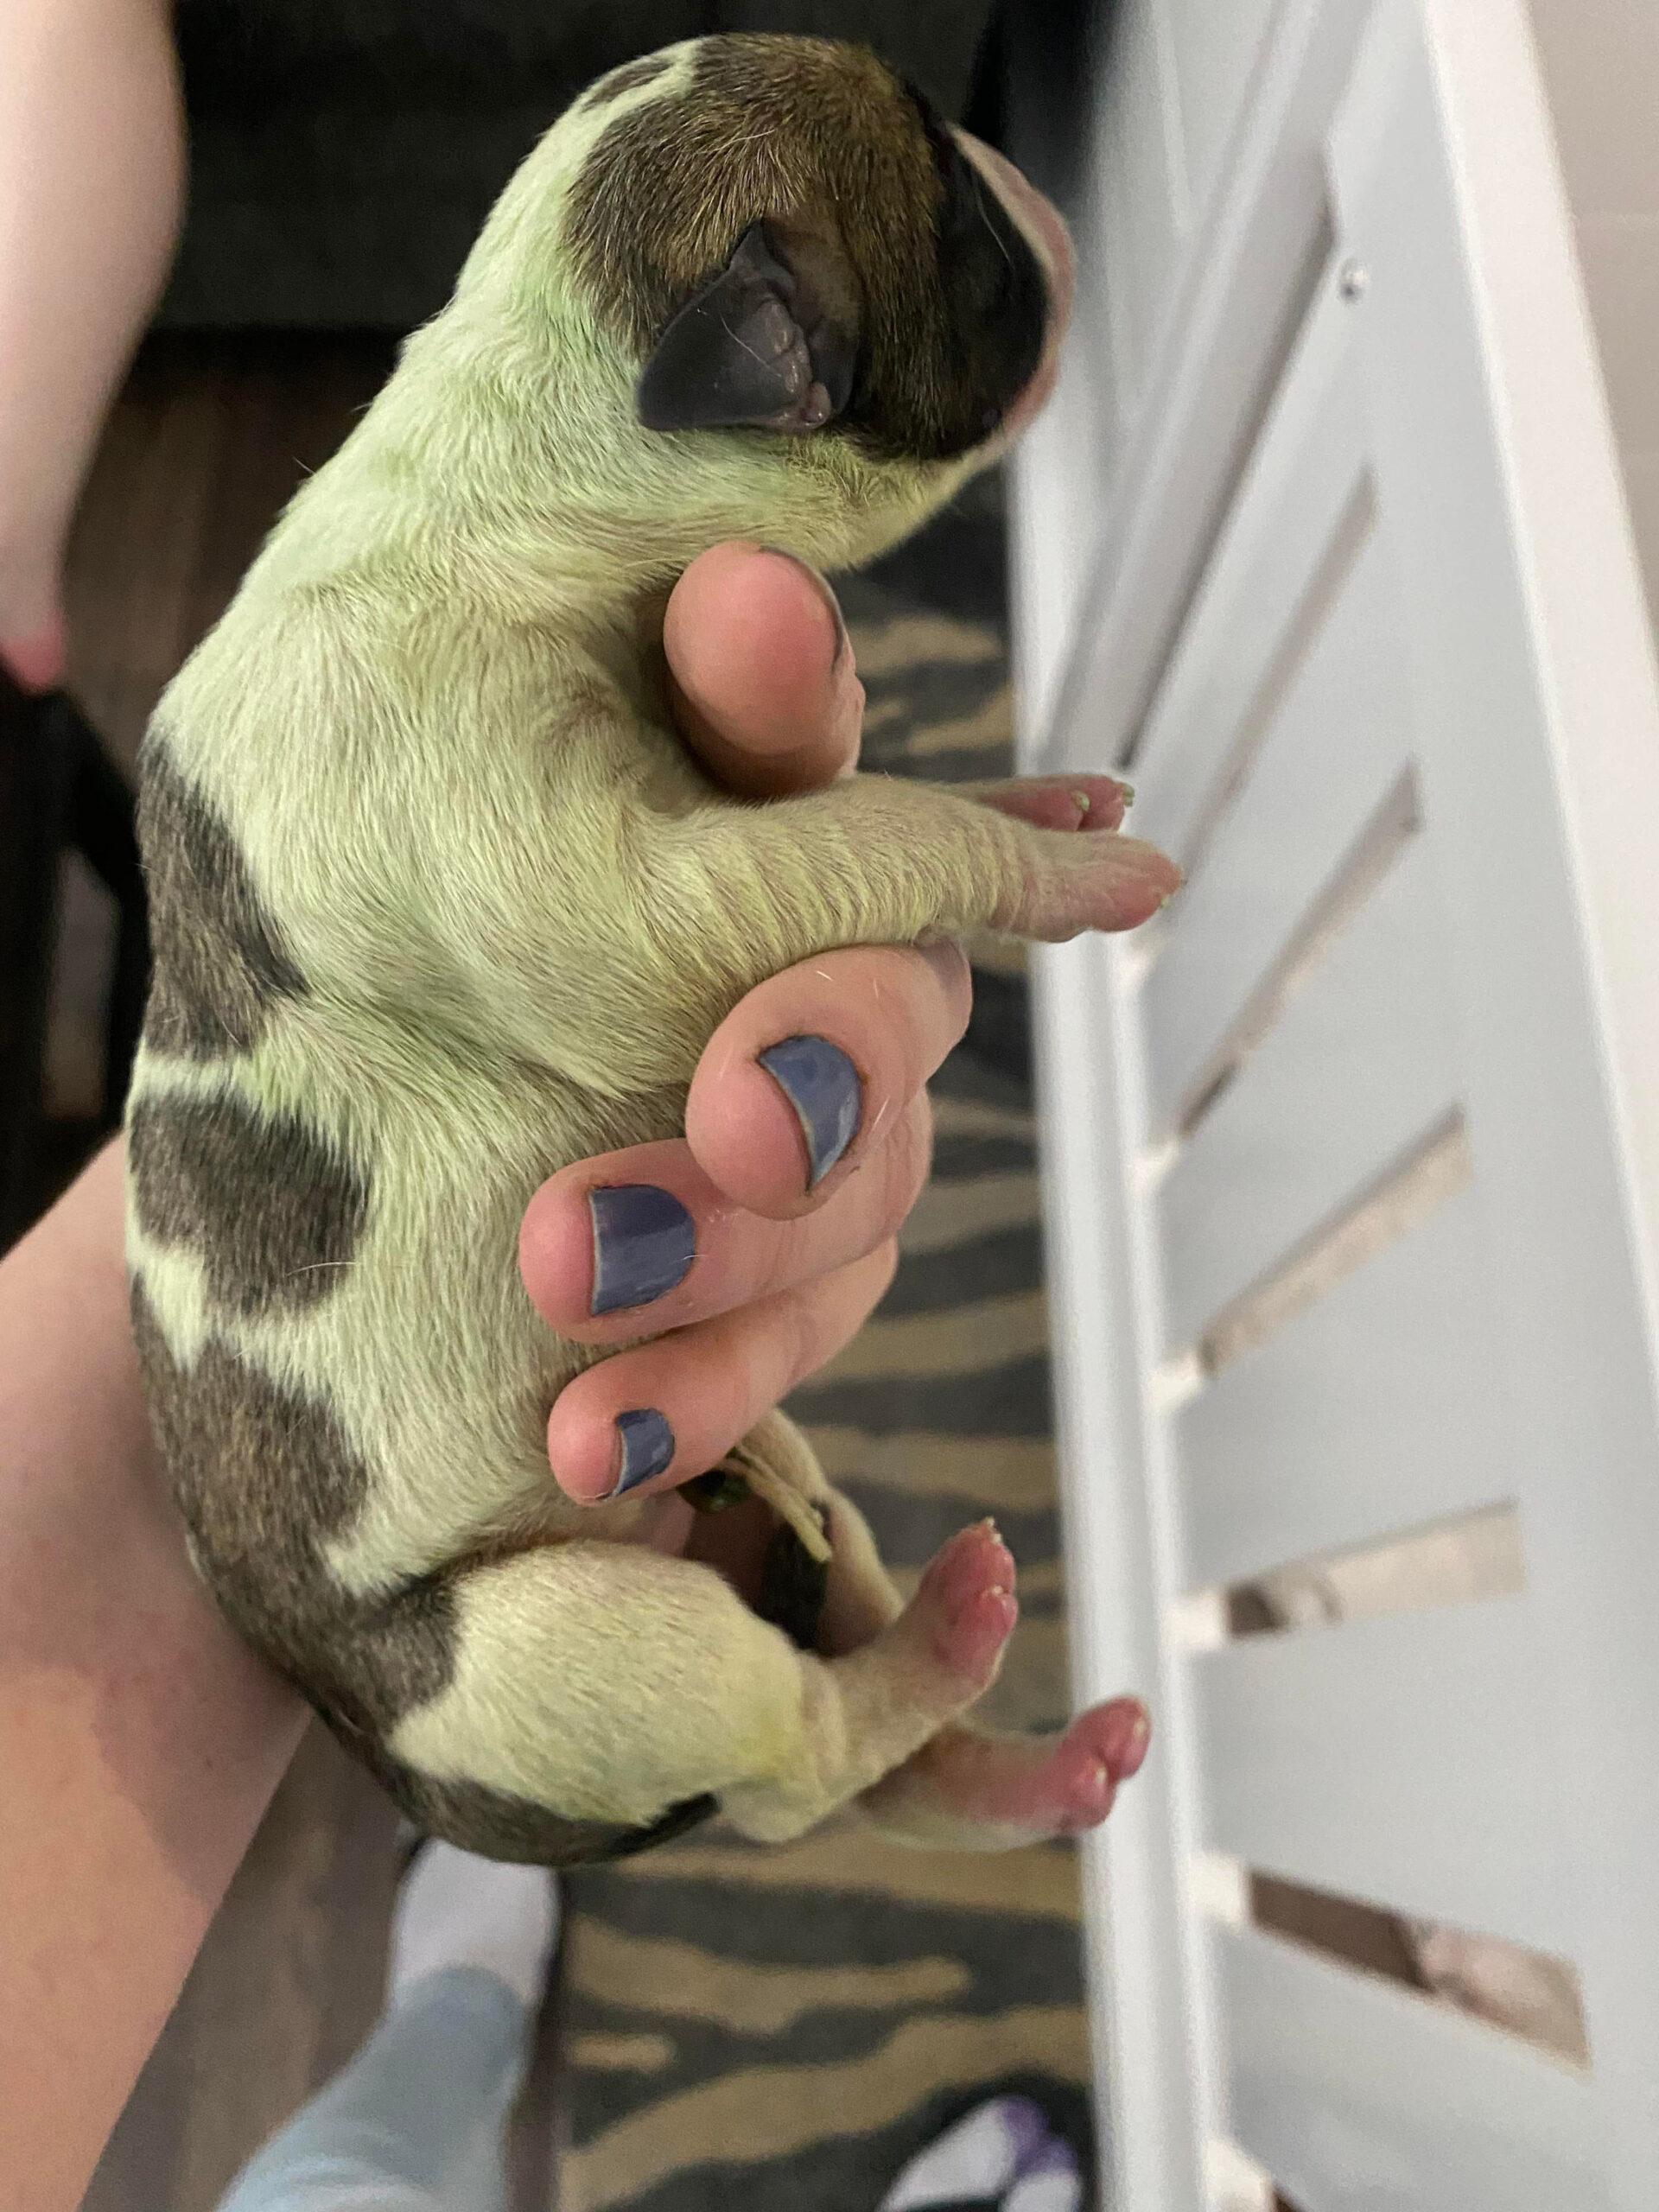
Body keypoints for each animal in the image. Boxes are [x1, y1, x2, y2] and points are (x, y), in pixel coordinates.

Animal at [123, 39, 1176, 1866]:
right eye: (965, 231)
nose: (1034, 187)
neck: (523, 444)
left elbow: (867, 798)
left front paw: (1036, 789)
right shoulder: (622, 887)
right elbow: (877, 833)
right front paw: (1067, 860)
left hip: (735, 1492)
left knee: (849, 1668)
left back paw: (1016, 1753)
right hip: (567, 1645)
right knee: (799, 1762)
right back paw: (956, 1641)